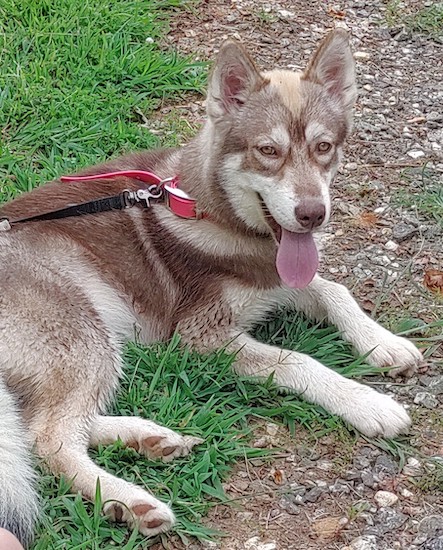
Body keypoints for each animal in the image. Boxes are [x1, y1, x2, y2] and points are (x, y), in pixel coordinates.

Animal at [0, 31, 424, 548]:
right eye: (268, 151)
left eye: (324, 147)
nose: (312, 215)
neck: (215, 211)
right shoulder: (203, 335)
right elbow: (298, 360)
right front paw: (366, 402)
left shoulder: (278, 282)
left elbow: (335, 291)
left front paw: (382, 343)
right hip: (82, 334)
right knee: (49, 438)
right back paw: (131, 502)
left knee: (41, 426)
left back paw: (148, 438)